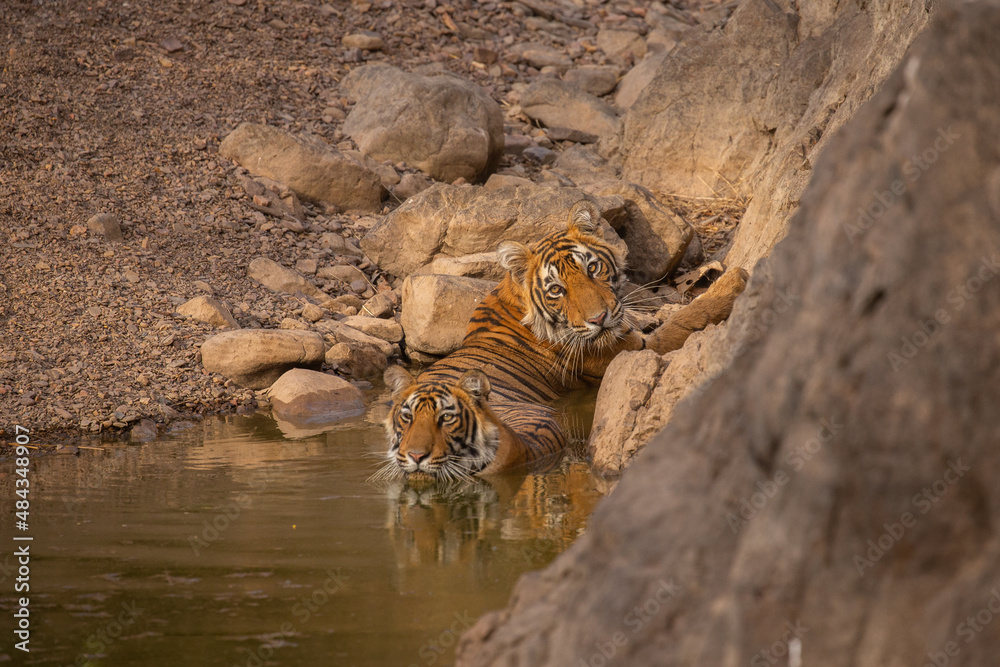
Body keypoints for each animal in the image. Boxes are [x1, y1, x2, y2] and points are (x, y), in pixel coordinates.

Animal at [378, 199, 748, 480]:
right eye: (557, 289)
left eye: (593, 268)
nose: (598, 319)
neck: (511, 297)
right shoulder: (633, 347)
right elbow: (686, 318)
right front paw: (734, 280)